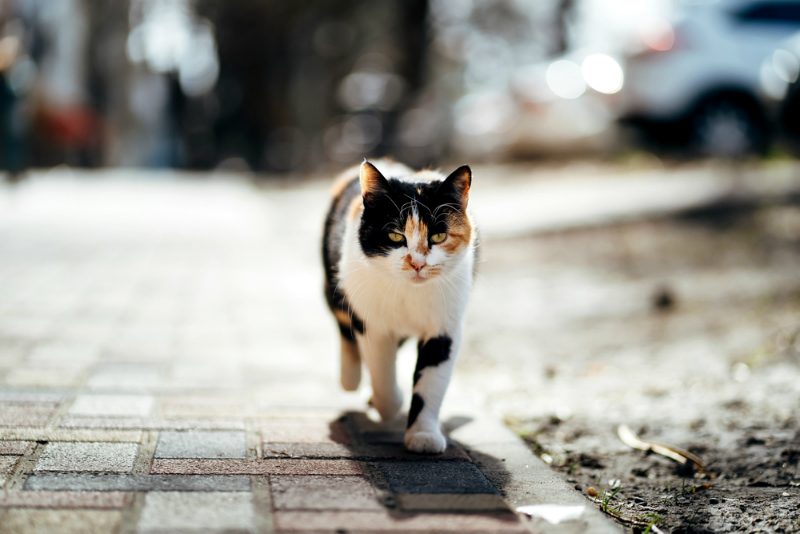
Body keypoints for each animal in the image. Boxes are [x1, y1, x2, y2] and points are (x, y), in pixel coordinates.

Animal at [324, 160, 478, 456]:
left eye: (438, 235)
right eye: (395, 236)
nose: (417, 263)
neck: (410, 293)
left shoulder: (444, 329)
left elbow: (431, 384)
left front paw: (423, 434)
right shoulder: (372, 324)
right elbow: (381, 374)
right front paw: (392, 403)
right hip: (335, 284)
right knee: (344, 325)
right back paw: (350, 379)